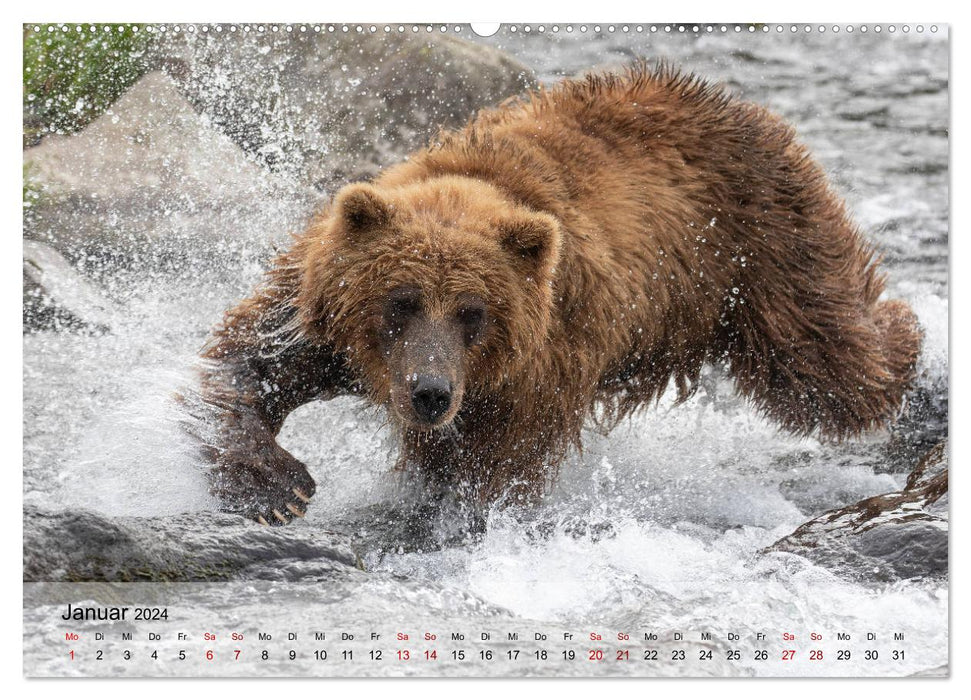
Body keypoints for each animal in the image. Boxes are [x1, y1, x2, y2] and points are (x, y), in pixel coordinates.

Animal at [196, 63, 920, 524]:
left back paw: (913, 343)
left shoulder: (540, 362)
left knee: (826, 361)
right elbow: (252, 358)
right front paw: (277, 487)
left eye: (473, 313)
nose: (429, 393)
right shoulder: (321, 313)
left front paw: (455, 506)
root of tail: (736, 103)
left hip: (760, 248)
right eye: (399, 301)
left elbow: (496, 461)